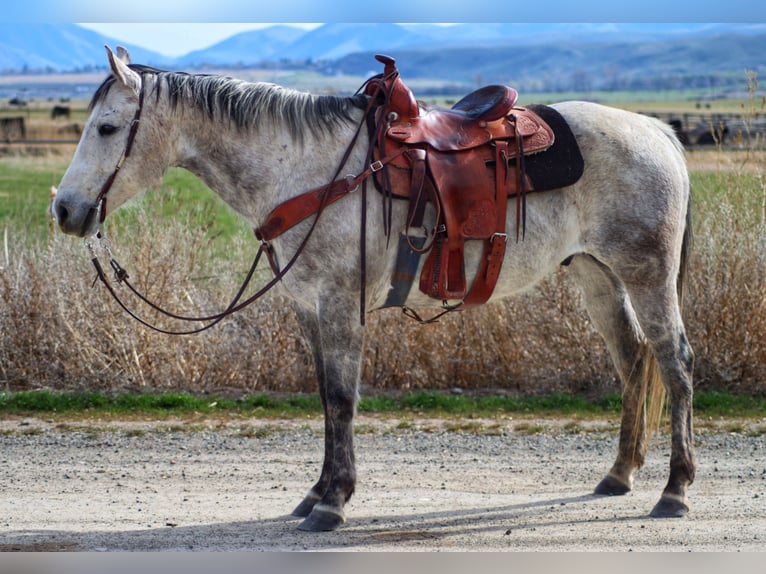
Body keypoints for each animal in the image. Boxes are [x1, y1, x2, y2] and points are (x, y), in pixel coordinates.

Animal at [52, 47, 695, 532]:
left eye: (107, 127)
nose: (64, 210)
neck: (308, 170)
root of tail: (656, 130)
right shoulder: (308, 306)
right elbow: (324, 397)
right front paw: (315, 494)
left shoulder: (341, 302)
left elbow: (342, 398)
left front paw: (334, 503)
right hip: (597, 274)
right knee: (634, 360)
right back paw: (619, 475)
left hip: (648, 275)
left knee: (675, 363)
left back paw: (675, 490)